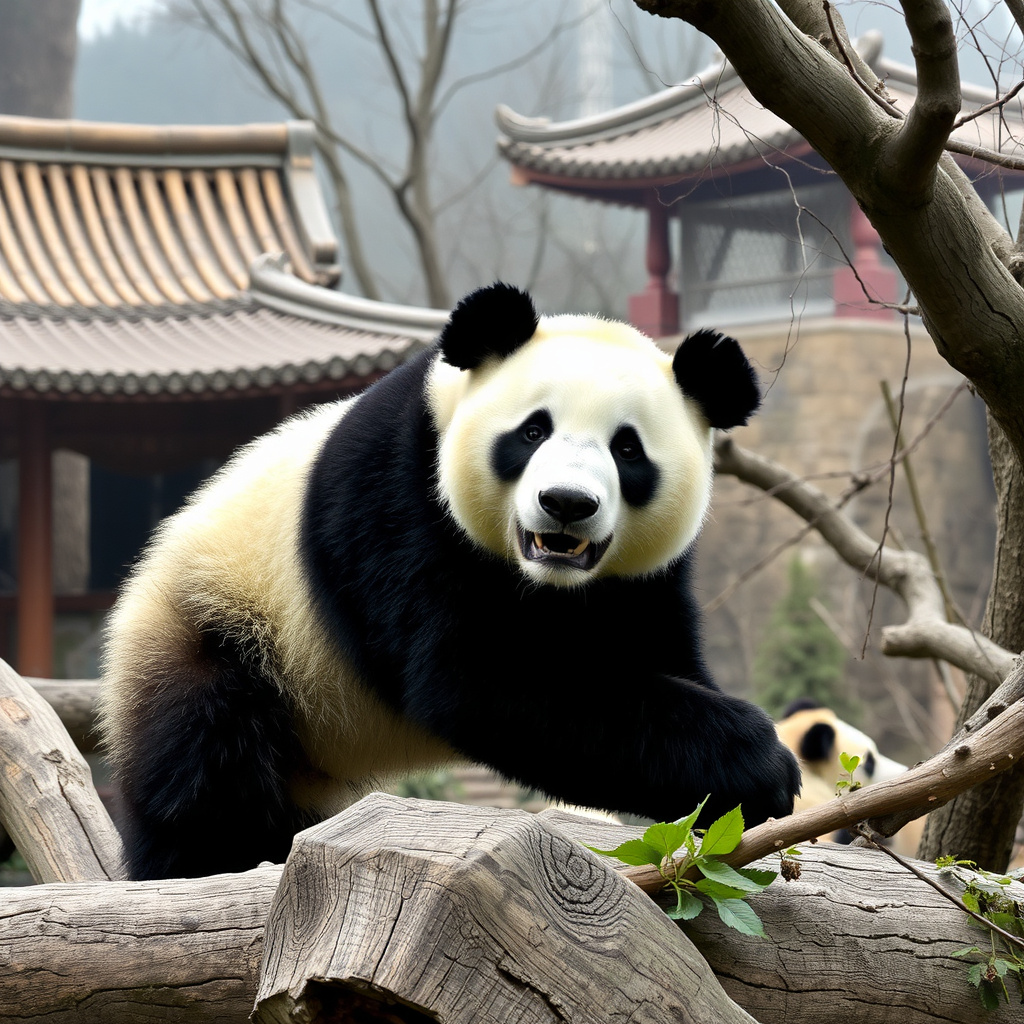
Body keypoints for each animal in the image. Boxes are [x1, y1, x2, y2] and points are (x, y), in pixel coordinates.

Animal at [99, 282, 801, 880]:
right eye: (533, 430)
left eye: (628, 449)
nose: (566, 503)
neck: (548, 583)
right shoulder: (396, 498)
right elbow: (481, 680)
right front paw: (763, 764)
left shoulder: (643, 581)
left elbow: (658, 659)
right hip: (226, 622)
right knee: (204, 755)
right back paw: (207, 861)